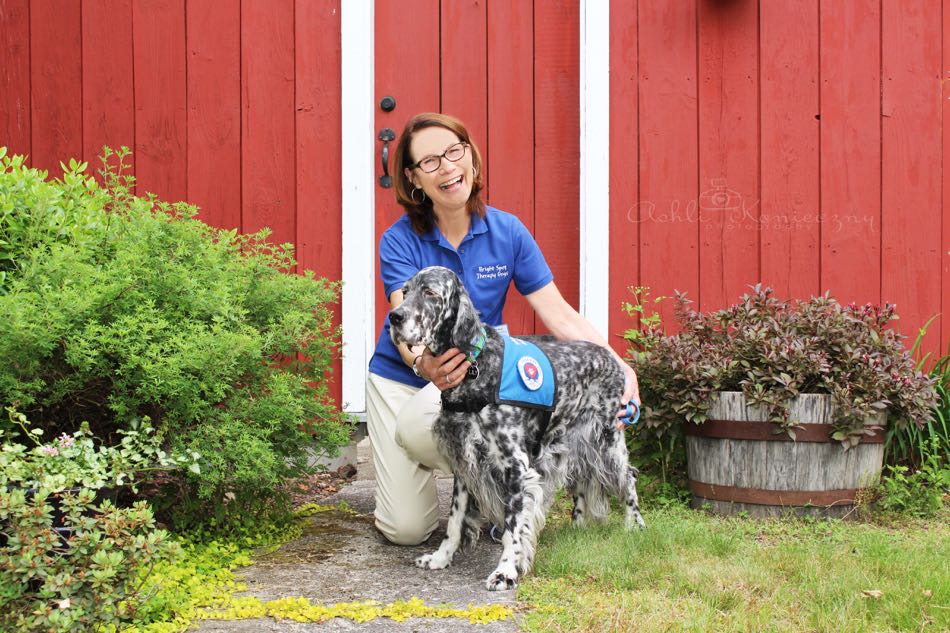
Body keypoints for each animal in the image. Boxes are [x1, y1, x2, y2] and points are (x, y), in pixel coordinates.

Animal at [388, 264, 648, 592]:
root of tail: (611, 357)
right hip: (572, 444)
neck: (476, 369)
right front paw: (440, 557)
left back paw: (635, 525)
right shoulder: (464, 464)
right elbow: (455, 520)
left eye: (431, 292)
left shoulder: (517, 469)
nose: (394, 317)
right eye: (405, 291)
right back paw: (577, 526)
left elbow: (513, 529)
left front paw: (505, 572)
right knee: (579, 483)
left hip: (606, 442)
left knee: (629, 478)